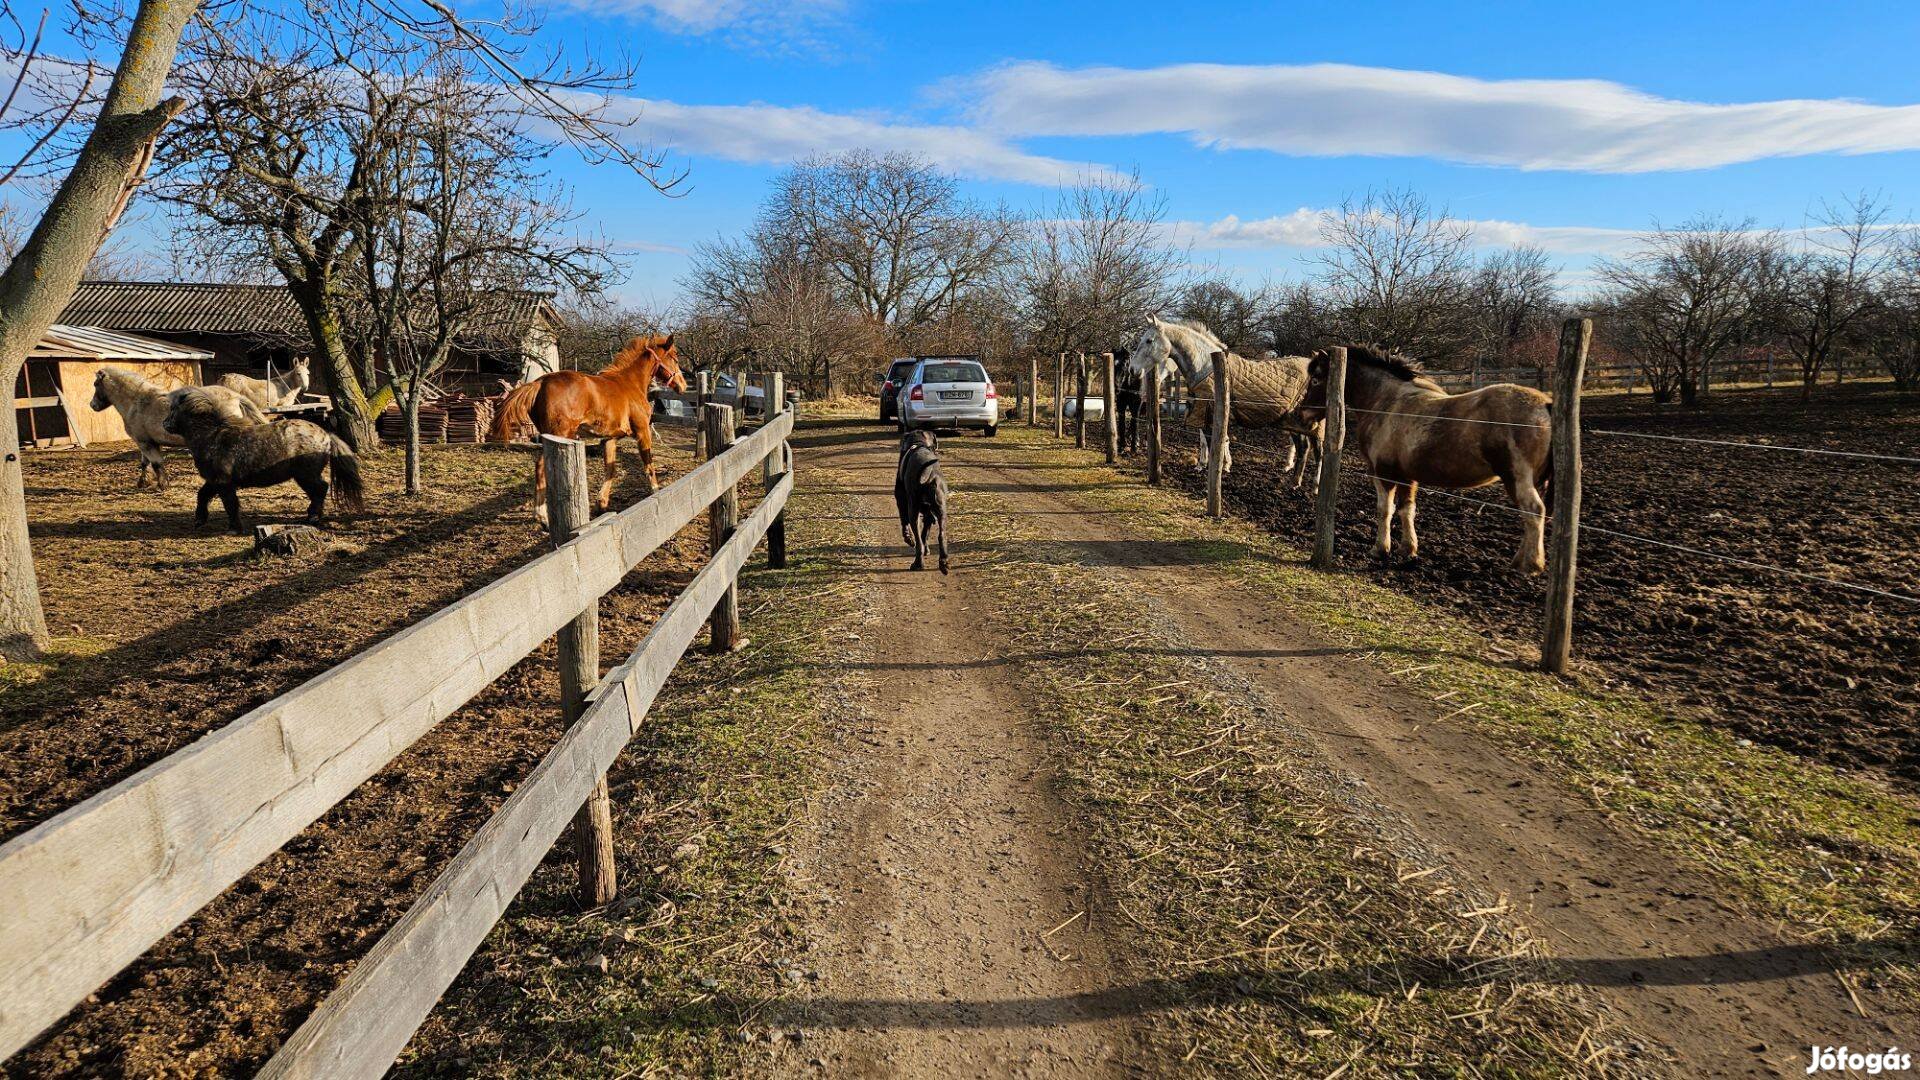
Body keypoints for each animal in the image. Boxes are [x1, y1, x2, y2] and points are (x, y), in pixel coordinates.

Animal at [89, 367, 266, 490]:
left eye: (96, 384)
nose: (93, 405)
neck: (137, 402)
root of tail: (235, 396)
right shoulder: (146, 442)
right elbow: (145, 463)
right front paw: (142, 482)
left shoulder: (144, 442)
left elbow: (156, 464)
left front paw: (162, 485)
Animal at [487, 334, 691, 522]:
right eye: (675, 359)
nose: (683, 385)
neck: (630, 383)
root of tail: (540, 382)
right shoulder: (642, 432)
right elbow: (648, 463)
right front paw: (655, 490)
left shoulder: (610, 438)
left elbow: (611, 469)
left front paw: (602, 503)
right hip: (561, 434)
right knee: (541, 466)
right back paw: (541, 517)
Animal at [894, 428, 948, 572]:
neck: (918, 443)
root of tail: (928, 474)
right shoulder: (929, 512)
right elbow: (926, 532)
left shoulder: (901, 498)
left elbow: (904, 521)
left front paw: (908, 538)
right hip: (941, 509)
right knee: (941, 535)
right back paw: (943, 562)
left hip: (913, 509)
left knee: (918, 541)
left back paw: (918, 563)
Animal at [1121, 315, 1320, 488]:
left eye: (1149, 340)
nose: (1133, 370)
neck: (1206, 367)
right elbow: (1215, 440)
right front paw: (1219, 466)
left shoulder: (1210, 416)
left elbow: (1214, 443)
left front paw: (1215, 471)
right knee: (1304, 447)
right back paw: (1294, 482)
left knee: (1316, 447)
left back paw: (1312, 484)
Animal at [1305, 343, 1559, 572]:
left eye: (1316, 379)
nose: (1303, 413)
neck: (1386, 403)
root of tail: (1546, 404)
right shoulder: (1407, 477)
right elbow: (1407, 510)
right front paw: (1407, 549)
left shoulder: (1383, 474)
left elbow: (1384, 509)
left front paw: (1380, 549)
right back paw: (1520, 561)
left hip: (1517, 478)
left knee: (1534, 511)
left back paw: (1530, 565)